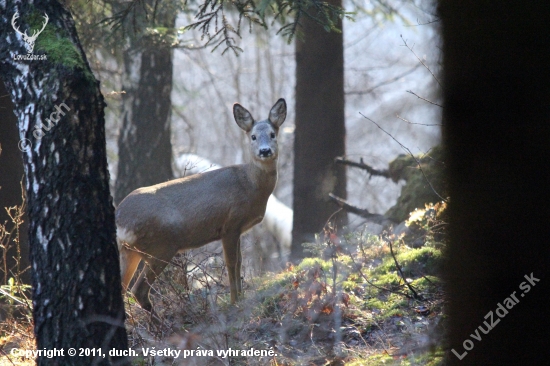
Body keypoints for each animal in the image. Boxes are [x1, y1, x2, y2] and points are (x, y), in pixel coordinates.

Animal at [116, 98, 288, 310]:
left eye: (273, 134)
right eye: (253, 136)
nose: (265, 151)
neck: (250, 185)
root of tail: (120, 219)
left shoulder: (237, 229)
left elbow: (239, 262)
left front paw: (239, 298)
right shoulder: (230, 224)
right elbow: (232, 263)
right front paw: (235, 301)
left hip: (130, 251)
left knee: (123, 289)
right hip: (161, 246)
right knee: (138, 290)